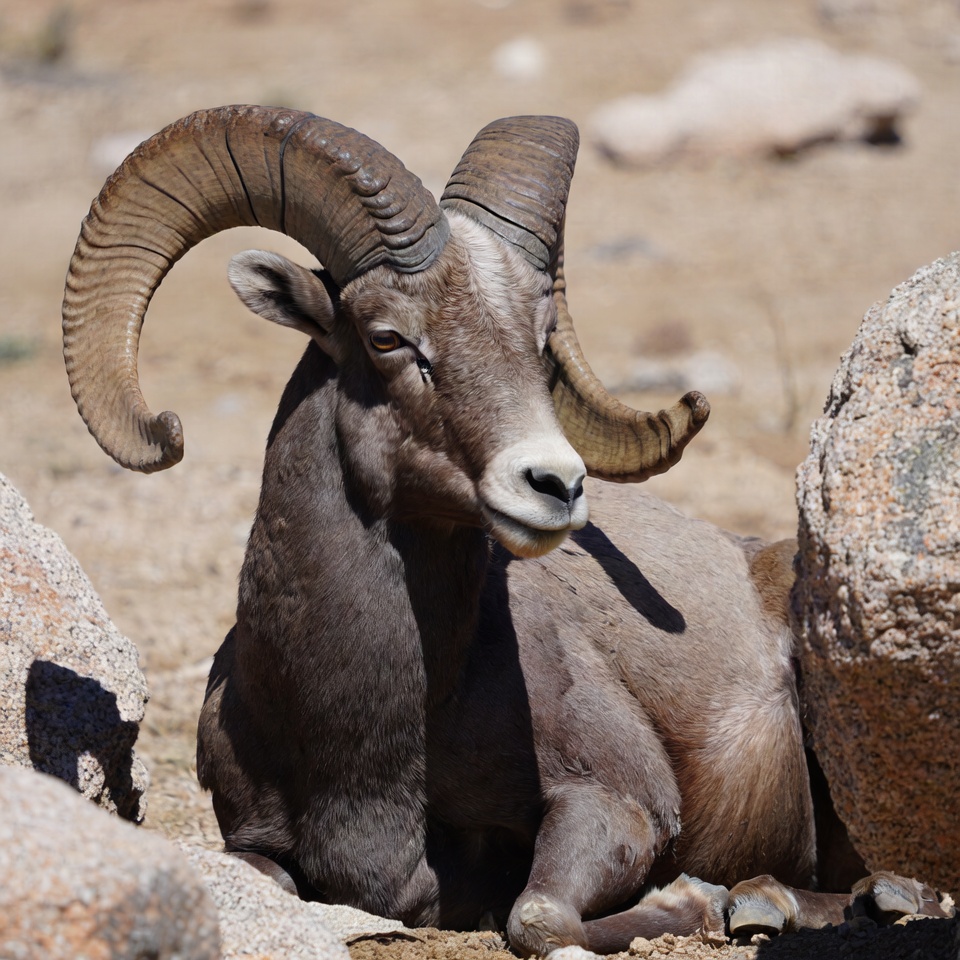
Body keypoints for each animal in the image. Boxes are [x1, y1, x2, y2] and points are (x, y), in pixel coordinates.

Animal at [62, 106, 952, 955]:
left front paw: (693, 900)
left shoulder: (615, 802)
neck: (366, 737)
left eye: (538, 342)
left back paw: (789, 901)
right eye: (386, 337)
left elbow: (537, 916)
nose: (556, 485)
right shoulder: (252, 840)